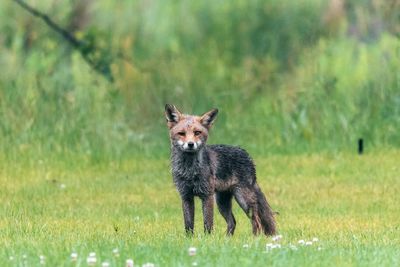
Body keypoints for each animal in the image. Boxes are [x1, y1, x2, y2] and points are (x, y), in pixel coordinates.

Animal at [163, 104, 276, 237]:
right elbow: (189, 225)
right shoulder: (186, 196)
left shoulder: (207, 195)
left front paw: (207, 239)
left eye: (197, 132)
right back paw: (227, 240)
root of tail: (246, 154)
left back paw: (254, 238)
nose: (190, 144)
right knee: (233, 222)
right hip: (222, 202)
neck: (189, 171)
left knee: (256, 220)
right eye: (181, 133)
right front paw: (189, 239)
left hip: (243, 198)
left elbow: (208, 223)